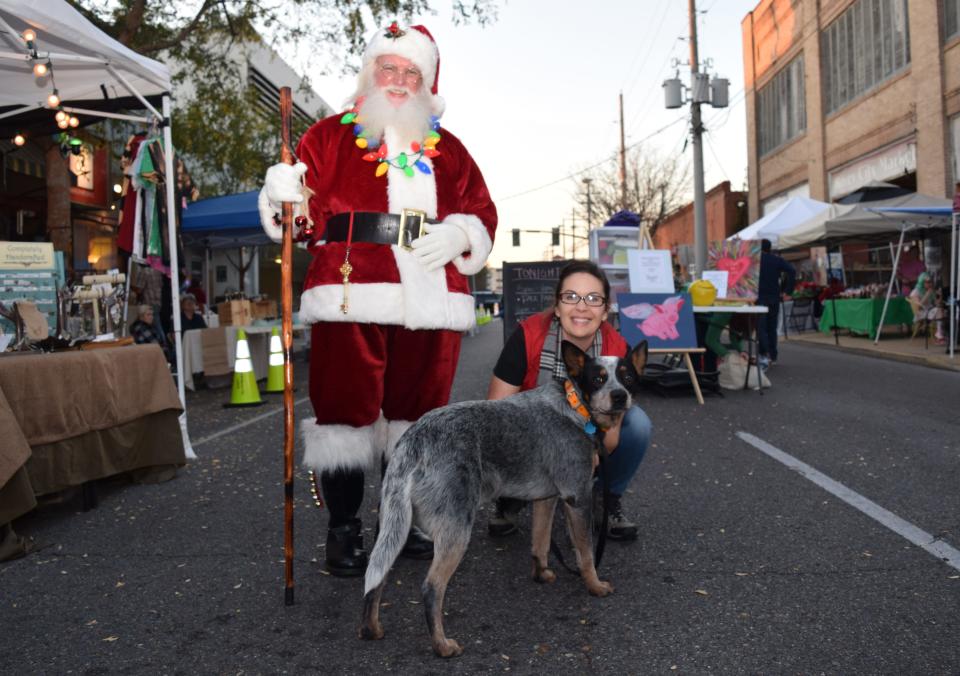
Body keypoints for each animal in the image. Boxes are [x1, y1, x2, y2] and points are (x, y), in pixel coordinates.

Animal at [356, 340, 648, 656]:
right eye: (598, 379)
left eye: (627, 377)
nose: (620, 396)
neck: (575, 406)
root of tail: (413, 442)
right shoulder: (576, 497)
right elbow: (586, 555)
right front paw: (594, 586)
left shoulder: (546, 499)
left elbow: (540, 542)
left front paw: (541, 574)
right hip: (456, 528)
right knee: (431, 587)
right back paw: (442, 645)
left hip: (395, 526)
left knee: (378, 573)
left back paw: (371, 628)